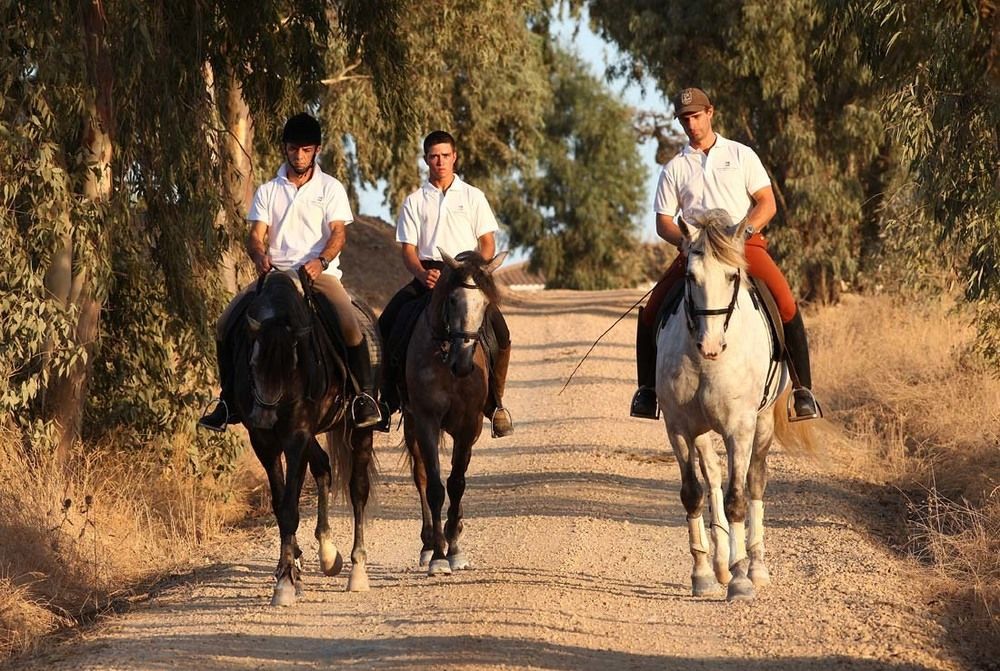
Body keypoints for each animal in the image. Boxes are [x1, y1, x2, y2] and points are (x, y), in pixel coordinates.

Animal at [229, 270, 376, 608]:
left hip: (360, 431)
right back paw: (327, 554)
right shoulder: (265, 442)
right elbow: (282, 500)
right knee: (322, 467)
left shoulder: (296, 437)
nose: (264, 418)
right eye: (252, 364)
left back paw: (357, 571)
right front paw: (290, 567)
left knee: (358, 490)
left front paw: (285, 583)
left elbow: (289, 508)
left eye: (291, 367)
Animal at [400, 251, 504, 576]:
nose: (464, 364)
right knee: (420, 476)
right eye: (453, 300)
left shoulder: (469, 425)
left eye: (485, 303)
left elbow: (457, 483)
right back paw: (428, 544)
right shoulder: (426, 421)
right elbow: (434, 486)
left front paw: (455, 549)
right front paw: (438, 556)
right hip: (411, 426)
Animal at [652, 207, 808, 600]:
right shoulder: (679, 428)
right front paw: (703, 574)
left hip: (763, 424)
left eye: (732, 275)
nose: (711, 345)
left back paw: (755, 566)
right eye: (690, 276)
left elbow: (737, 497)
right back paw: (721, 562)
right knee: (711, 477)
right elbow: (693, 494)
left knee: (754, 482)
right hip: (703, 431)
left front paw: (740, 579)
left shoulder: (739, 427)